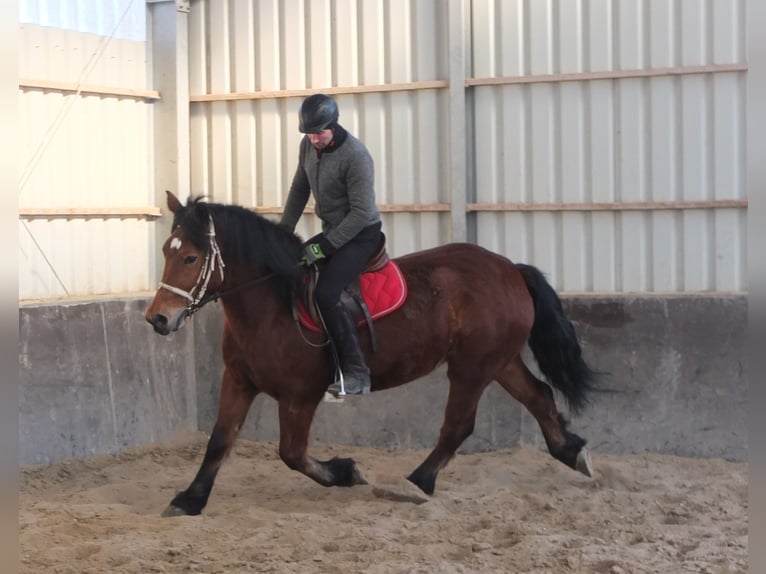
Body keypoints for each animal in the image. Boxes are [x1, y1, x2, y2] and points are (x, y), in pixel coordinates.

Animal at [146, 192, 600, 516]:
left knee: (459, 425)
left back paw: (416, 483)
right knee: (538, 396)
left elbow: (291, 454)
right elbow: (220, 441)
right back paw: (571, 453)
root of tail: (510, 269)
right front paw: (189, 500)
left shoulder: (299, 396)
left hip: (471, 369)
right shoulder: (238, 381)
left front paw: (347, 472)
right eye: (166, 251)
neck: (272, 302)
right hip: (498, 361)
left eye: (191, 257)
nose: (158, 319)